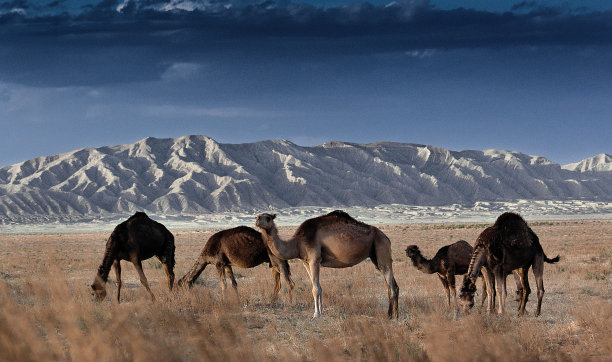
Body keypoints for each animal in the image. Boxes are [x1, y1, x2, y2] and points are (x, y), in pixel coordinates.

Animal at [255, 211, 402, 318]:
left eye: (268, 217)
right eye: (259, 215)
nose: (256, 219)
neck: (297, 242)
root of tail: (386, 237)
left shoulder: (314, 259)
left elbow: (315, 289)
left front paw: (316, 314)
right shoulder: (305, 262)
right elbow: (318, 287)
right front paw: (321, 312)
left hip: (381, 248)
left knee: (392, 285)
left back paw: (389, 315)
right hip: (375, 255)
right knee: (393, 285)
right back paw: (396, 315)